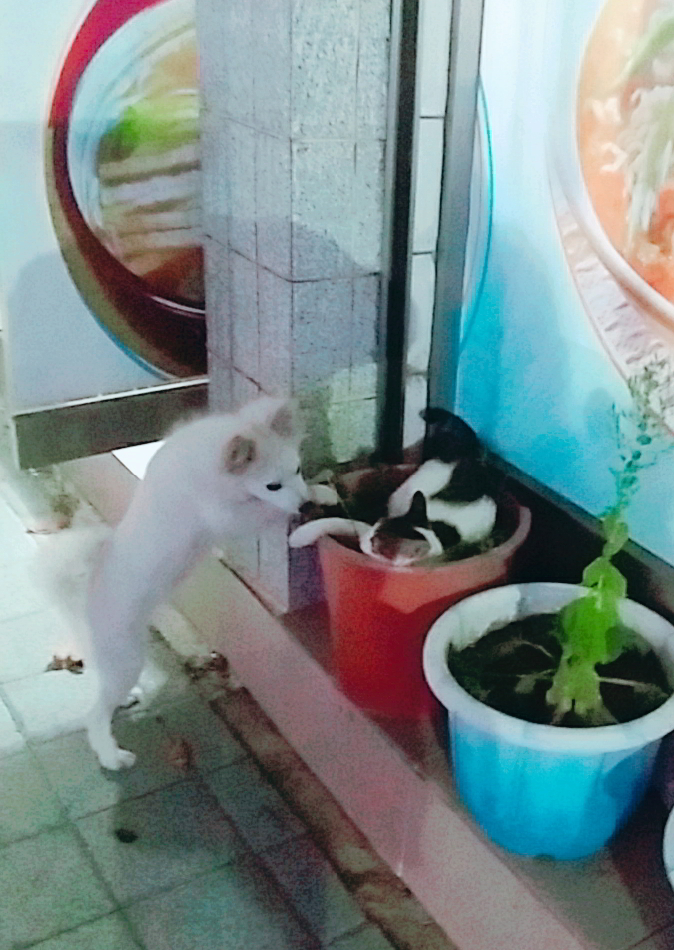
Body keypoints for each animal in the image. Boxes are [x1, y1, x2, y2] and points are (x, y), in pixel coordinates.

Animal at [82, 396, 312, 770]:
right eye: (272, 486)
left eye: (298, 469)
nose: (307, 506)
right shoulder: (224, 515)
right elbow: (261, 513)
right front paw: (288, 515)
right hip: (125, 657)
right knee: (94, 714)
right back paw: (111, 755)